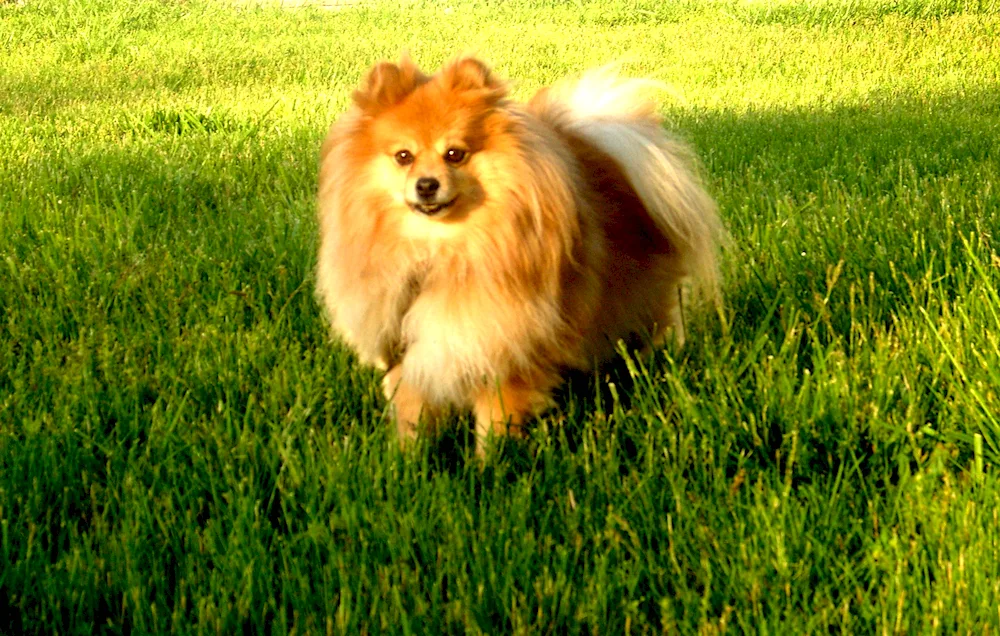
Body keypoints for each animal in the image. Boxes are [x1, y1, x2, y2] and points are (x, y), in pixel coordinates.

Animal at [316, 54, 724, 452]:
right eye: (403, 156)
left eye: (454, 154)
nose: (426, 184)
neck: (440, 252)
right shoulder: (407, 346)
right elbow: (411, 412)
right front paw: (407, 459)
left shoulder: (504, 344)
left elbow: (495, 422)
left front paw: (491, 463)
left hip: (639, 304)